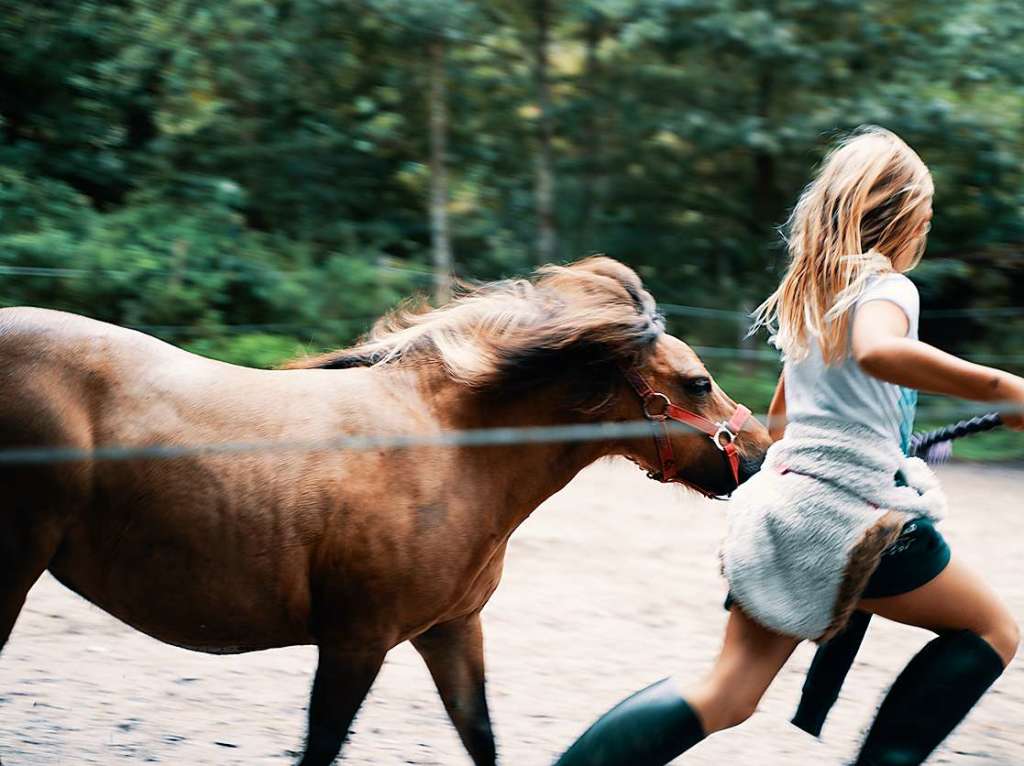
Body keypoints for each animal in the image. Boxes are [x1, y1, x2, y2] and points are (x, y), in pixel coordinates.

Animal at [0, 256, 770, 761]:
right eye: (697, 383)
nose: (761, 454)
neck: (454, 452)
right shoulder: (355, 643)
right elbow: (320, 748)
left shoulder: (452, 631)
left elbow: (480, 736)